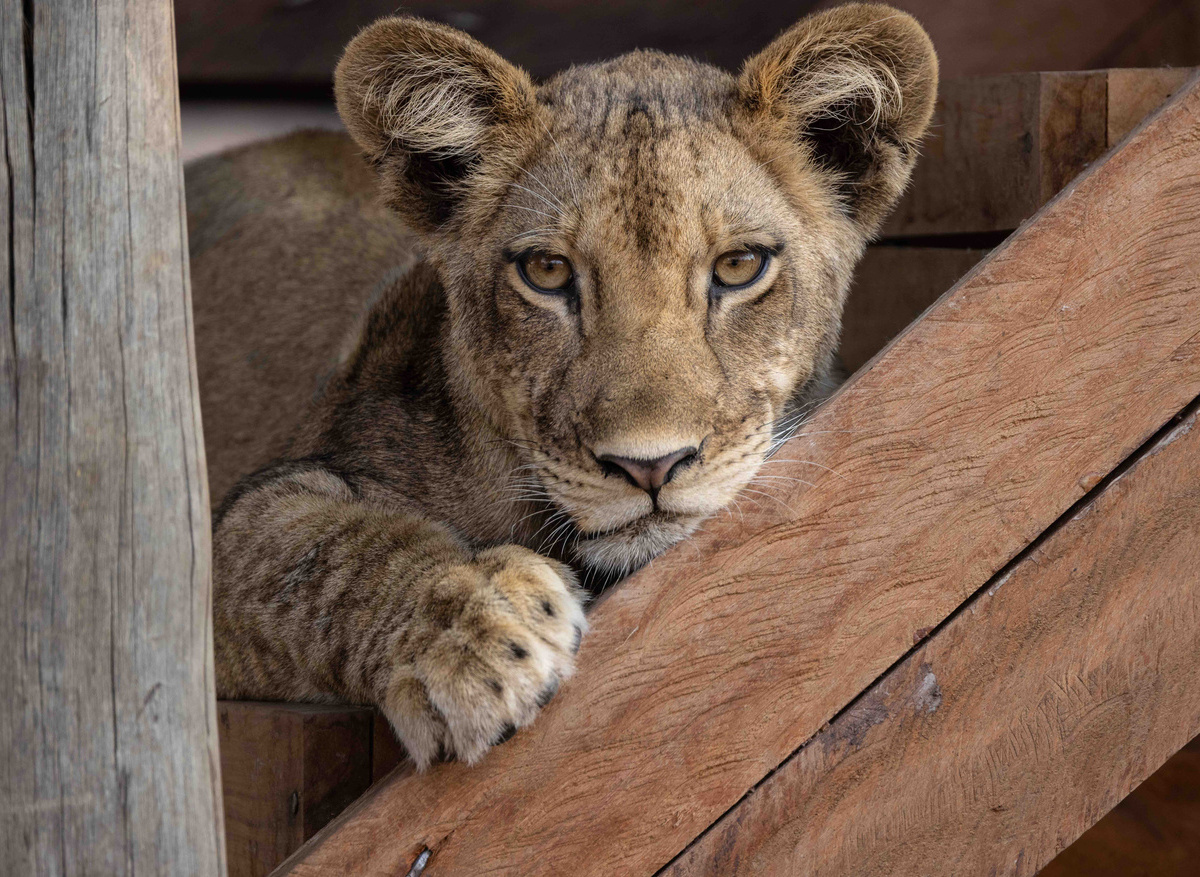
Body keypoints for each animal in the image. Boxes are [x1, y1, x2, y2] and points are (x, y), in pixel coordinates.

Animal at [191, 4, 937, 769]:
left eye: (739, 266)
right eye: (547, 272)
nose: (650, 466)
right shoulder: (251, 508)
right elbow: (336, 554)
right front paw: (478, 631)